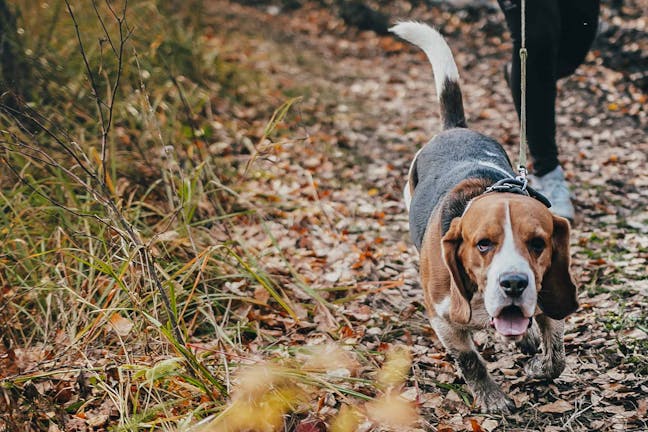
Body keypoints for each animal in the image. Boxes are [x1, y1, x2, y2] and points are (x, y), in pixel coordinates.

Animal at [390, 22, 576, 414]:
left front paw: (538, 364)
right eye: (483, 244)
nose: (514, 284)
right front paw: (492, 397)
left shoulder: (548, 301)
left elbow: (556, 356)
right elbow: (469, 360)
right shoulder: (442, 318)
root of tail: (455, 128)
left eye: (538, 244)